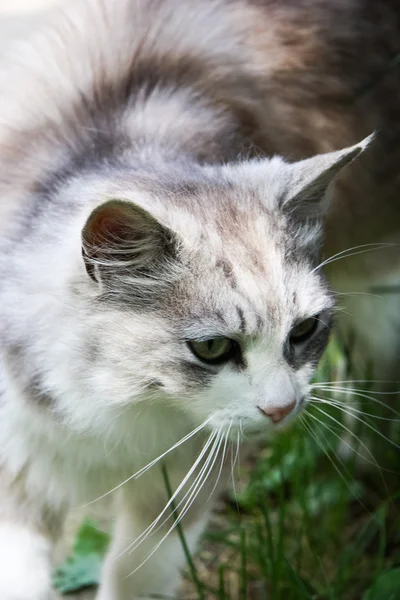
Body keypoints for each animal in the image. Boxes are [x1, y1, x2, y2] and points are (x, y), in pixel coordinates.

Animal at [0, 1, 398, 600]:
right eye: (211, 348)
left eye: (303, 332)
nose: (282, 410)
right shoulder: (21, 469)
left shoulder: (184, 475)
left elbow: (134, 573)